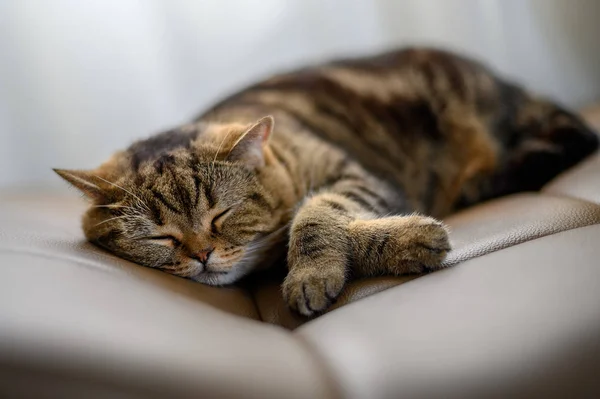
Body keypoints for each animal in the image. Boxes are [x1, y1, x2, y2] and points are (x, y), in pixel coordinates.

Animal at [54, 47, 596, 316]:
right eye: (160, 237)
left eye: (221, 215)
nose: (202, 255)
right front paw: (406, 240)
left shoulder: (352, 176)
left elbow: (315, 216)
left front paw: (312, 273)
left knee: (577, 135)